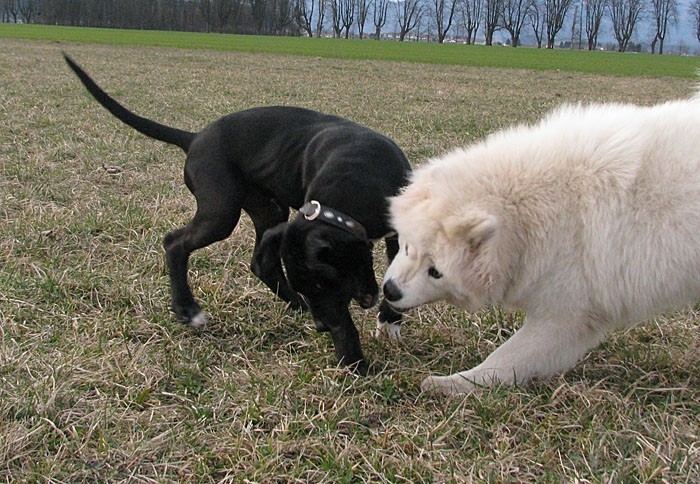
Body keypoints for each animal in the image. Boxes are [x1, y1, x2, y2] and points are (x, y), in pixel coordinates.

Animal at [65, 54, 410, 374]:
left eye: (323, 285)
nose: (320, 327)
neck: (355, 173)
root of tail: (194, 138)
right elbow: (347, 321)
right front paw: (355, 359)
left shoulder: (400, 234)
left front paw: (388, 322)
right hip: (221, 212)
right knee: (175, 243)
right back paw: (187, 308)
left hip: (270, 210)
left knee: (261, 262)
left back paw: (290, 305)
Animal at [382, 92, 700, 396]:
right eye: (408, 247)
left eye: (436, 272)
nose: (390, 291)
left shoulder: (565, 314)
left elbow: (508, 357)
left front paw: (458, 384)